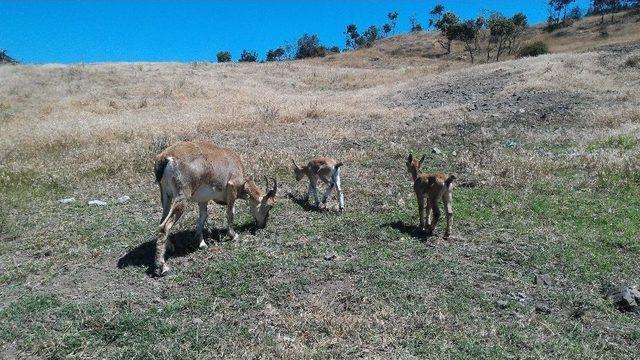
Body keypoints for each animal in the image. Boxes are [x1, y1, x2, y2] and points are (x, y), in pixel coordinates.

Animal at [155, 141, 278, 276]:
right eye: (270, 206)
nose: (263, 225)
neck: (233, 160)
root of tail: (165, 157)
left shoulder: (203, 200)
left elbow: (203, 217)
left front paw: (202, 243)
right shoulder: (232, 188)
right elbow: (230, 213)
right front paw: (234, 235)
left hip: (166, 197)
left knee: (162, 221)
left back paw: (169, 247)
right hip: (181, 199)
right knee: (164, 227)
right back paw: (163, 267)